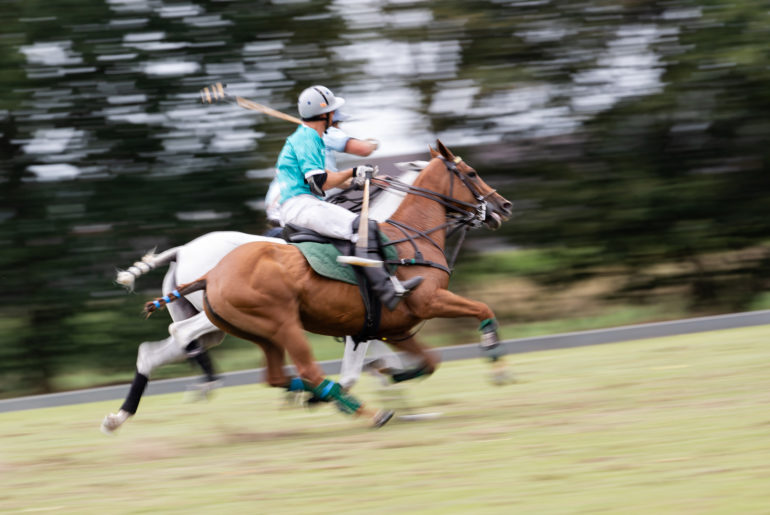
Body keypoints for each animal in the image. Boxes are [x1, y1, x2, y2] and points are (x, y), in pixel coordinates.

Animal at [100, 163, 426, 434]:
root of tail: (181, 251)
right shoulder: (360, 319)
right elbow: (365, 364)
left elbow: (376, 360)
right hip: (214, 316)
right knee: (182, 338)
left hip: (210, 322)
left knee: (159, 351)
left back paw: (123, 415)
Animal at [147, 140, 512, 428]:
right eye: (472, 173)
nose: (503, 206)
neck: (409, 233)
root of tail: (196, 262)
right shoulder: (428, 300)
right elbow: (482, 308)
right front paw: (496, 363)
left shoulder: (385, 328)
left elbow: (423, 362)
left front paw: (394, 387)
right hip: (281, 324)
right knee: (190, 338)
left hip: (253, 330)